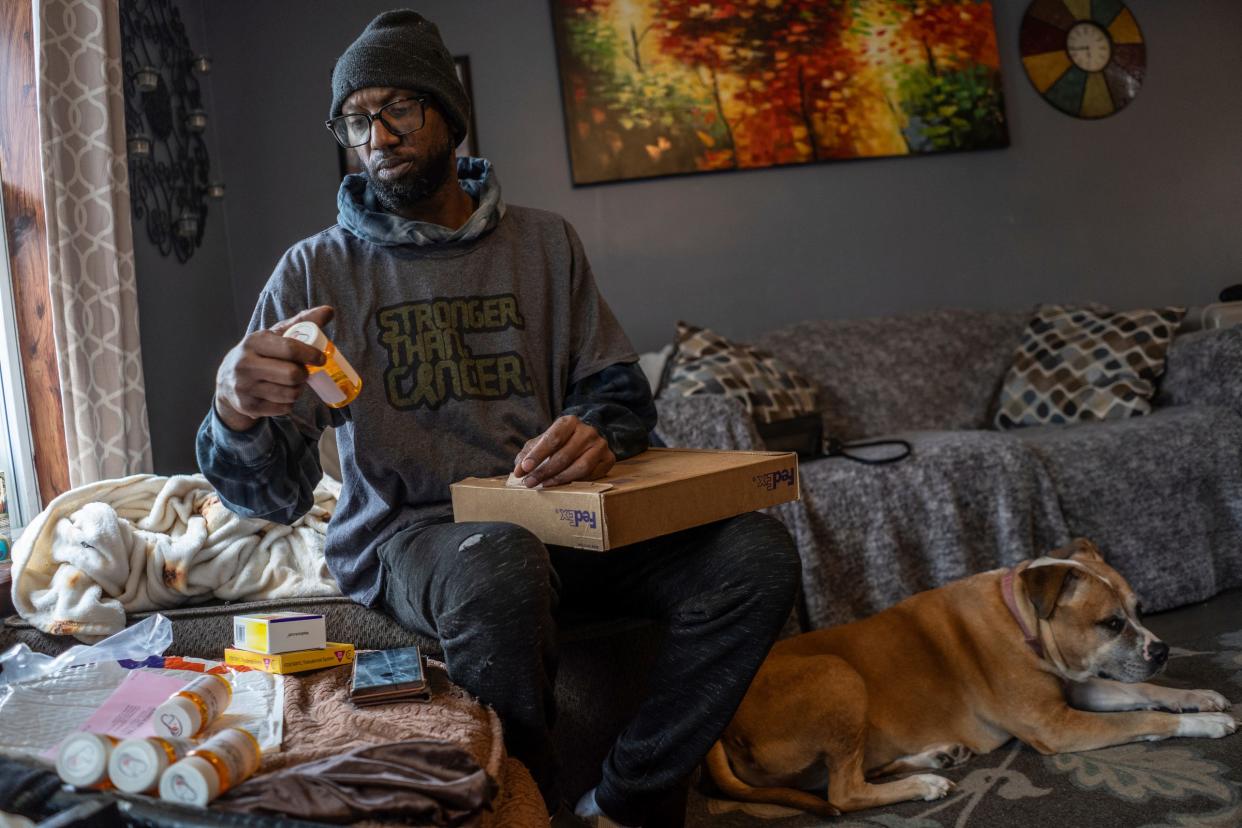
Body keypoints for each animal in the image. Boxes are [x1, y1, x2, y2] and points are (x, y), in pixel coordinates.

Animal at [705, 538, 1237, 814]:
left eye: (1140, 611)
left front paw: (1198, 696)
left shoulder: (1076, 690)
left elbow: (1142, 690)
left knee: (849, 773)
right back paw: (923, 785)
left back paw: (933, 758)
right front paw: (1203, 725)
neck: (1023, 618)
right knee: (843, 790)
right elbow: (1142, 719)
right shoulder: (1057, 726)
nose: (1163, 649)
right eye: (1110, 623)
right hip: (838, 675)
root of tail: (724, 723)